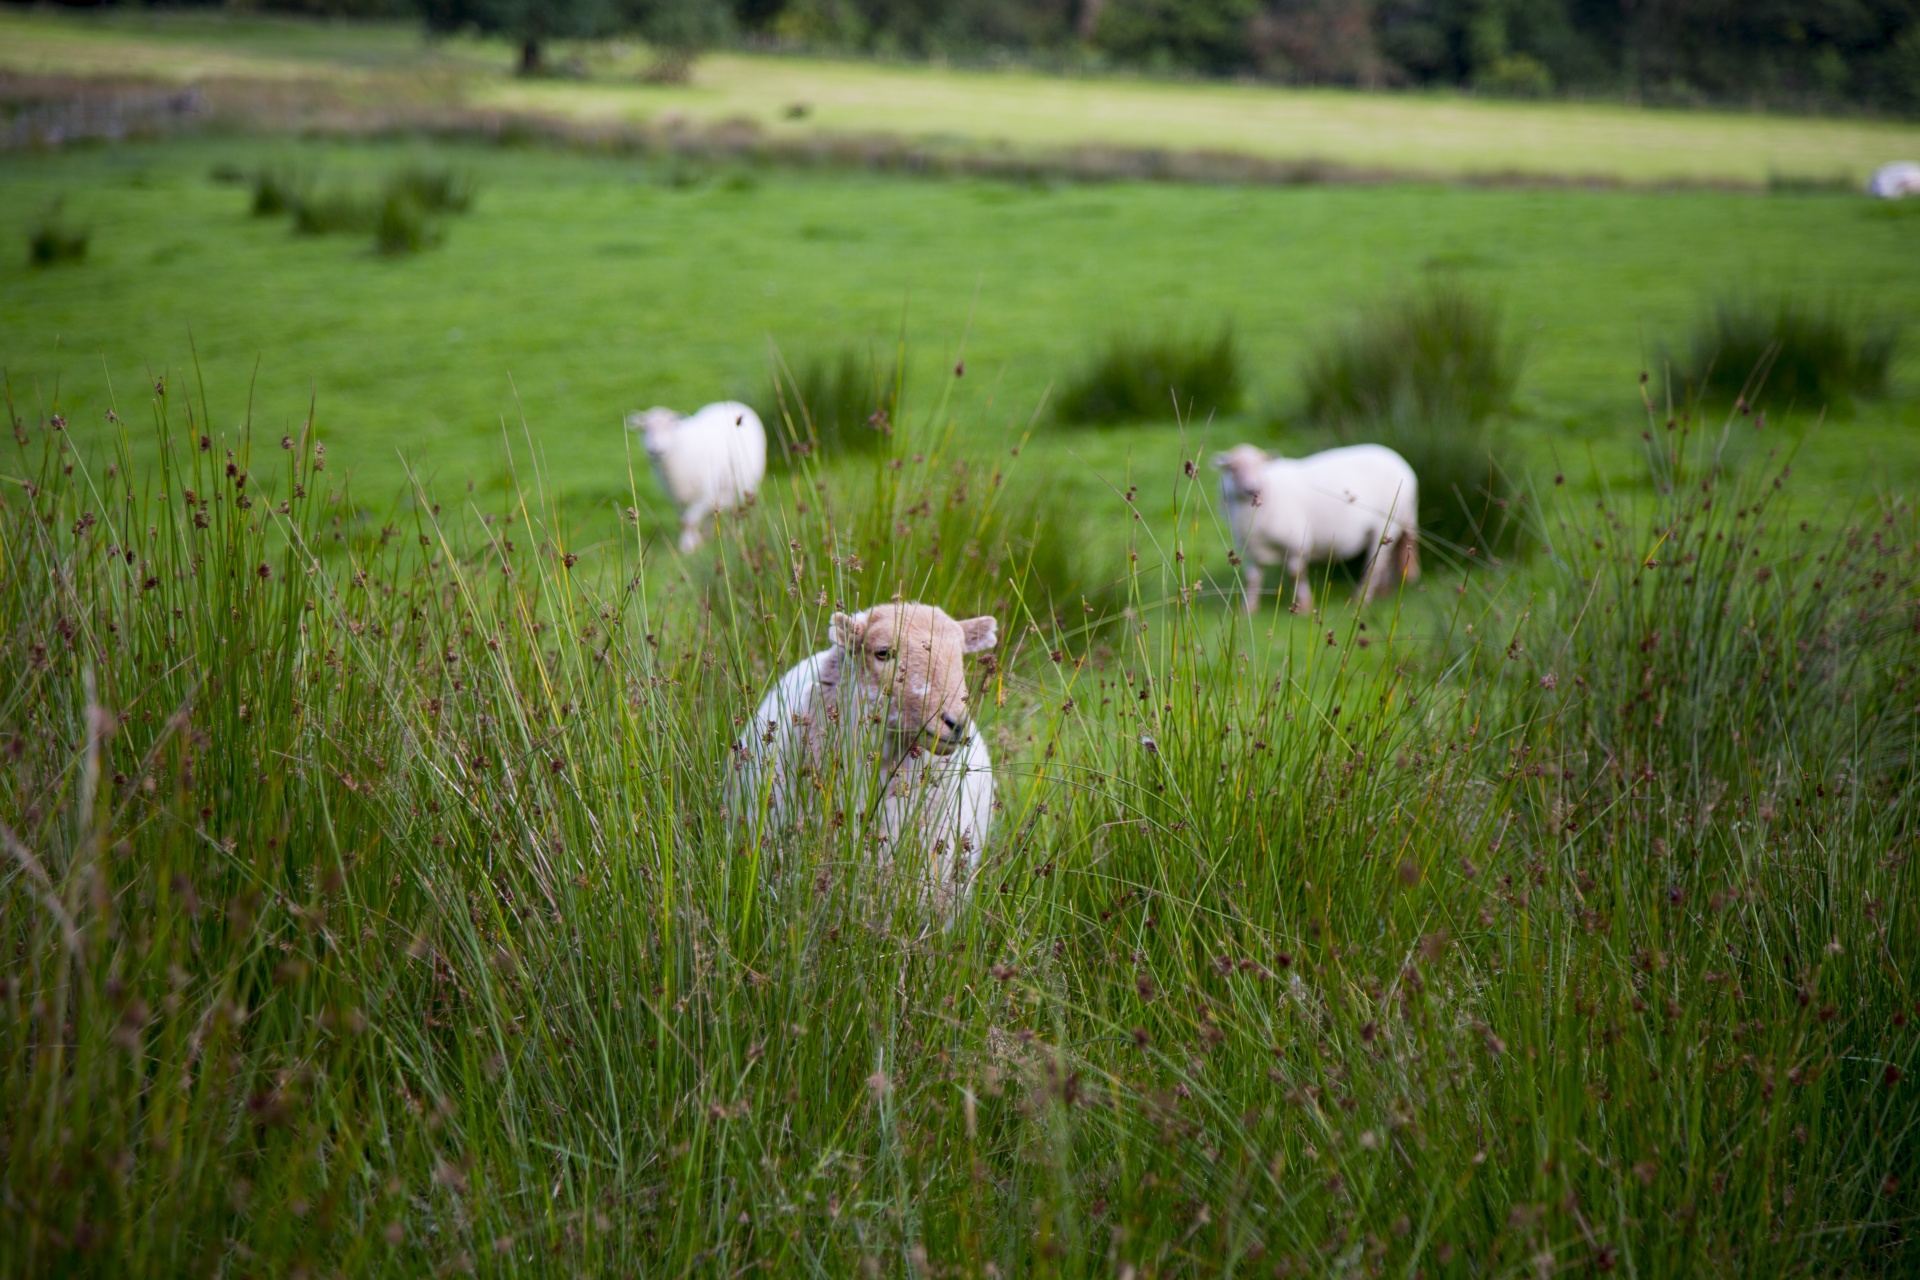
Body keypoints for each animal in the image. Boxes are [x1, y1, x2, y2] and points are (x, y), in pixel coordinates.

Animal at [625, 402, 768, 552]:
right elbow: (683, 520)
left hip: (744, 487)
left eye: (669, 426)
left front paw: (688, 545)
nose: (655, 451)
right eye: (644, 428)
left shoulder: (705, 494)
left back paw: (737, 535)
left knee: (739, 511)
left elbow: (689, 520)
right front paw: (695, 541)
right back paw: (709, 536)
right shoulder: (676, 498)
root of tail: (733, 402)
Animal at [1213, 441, 1428, 614]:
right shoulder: (1251, 549)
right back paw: (1385, 593)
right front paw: (1248, 609)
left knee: (1377, 563)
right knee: (1392, 557)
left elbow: (1296, 573)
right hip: (1402, 519)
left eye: (1261, 466)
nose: (1252, 488)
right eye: (1233, 468)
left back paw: (1360, 600)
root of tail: (1397, 459)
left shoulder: (1297, 542)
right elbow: (1252, 578)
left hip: (1386, 524)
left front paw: (1304, 607)